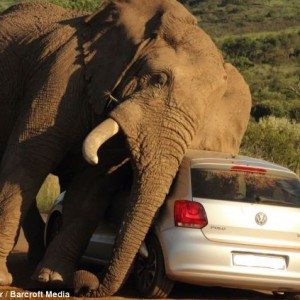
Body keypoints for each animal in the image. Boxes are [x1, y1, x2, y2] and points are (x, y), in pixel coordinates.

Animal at [0, 0, 251, 296]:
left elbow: (91, 188)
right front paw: (5, 278)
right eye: (158, 79)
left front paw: (54, 279)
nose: (88, 286)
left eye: (205, 113)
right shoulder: (60, 78)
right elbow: (28, 161)